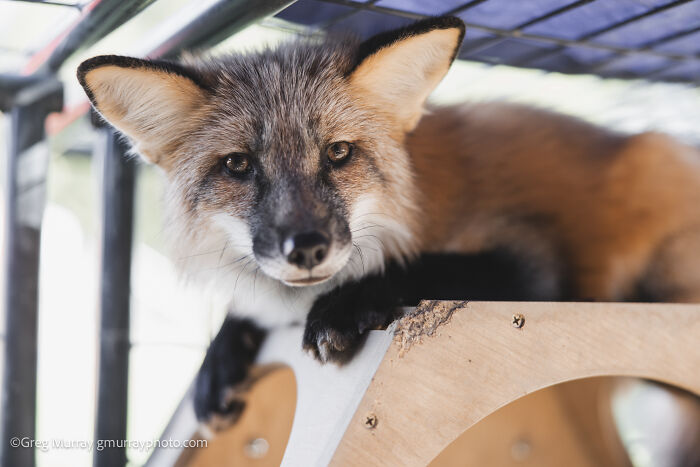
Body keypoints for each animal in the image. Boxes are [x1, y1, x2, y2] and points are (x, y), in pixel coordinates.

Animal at [77, 16, 700, 426]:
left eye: (338, 153)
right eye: (238, 165)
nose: (307, 247)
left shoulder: (530, 262)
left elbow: (422, 266)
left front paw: (347, 303)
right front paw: (221, 354)